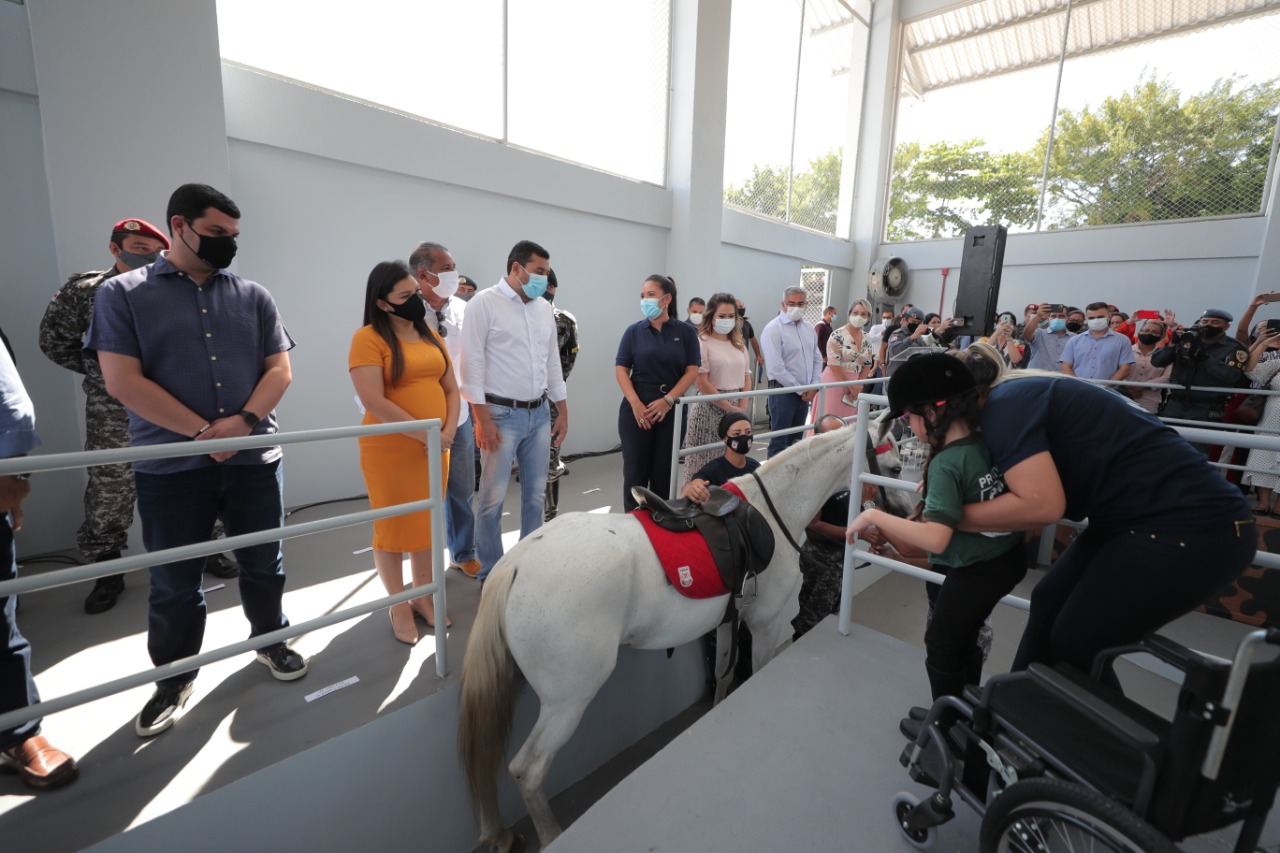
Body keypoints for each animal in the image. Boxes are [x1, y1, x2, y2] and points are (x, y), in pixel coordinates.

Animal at [460, 427, 890, 845]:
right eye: (895, 458)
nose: (900, 513)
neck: (773, 509)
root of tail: (516, 562)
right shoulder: (765, 624)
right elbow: (755, 672)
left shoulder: (728, 621)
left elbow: (722, 673)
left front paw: (717, 709)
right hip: (567, 701)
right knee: (528, 770)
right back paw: (551, 834)